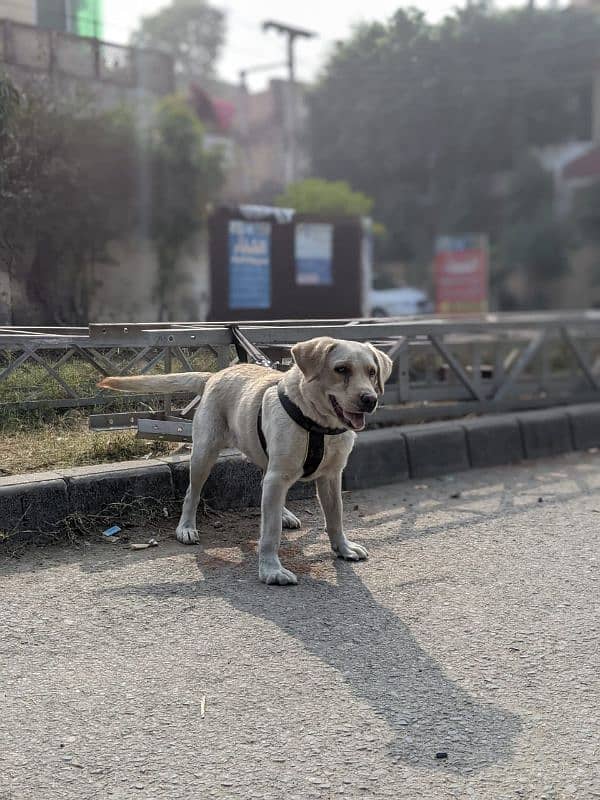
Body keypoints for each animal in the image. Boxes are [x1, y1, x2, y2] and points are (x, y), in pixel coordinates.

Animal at [99, 338, 394, 588]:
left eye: (371, 372)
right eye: (341, 369)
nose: (370, 399)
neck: (318, 424)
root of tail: (214, 375)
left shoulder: (331, 477)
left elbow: (336, 517)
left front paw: (343, 548)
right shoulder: (279, 476)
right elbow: (270, 531)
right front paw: (271, 569)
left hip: (264, 456)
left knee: (265, 485)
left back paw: (284, 513)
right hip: (204, 454)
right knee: (192, 493)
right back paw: (186, 527)